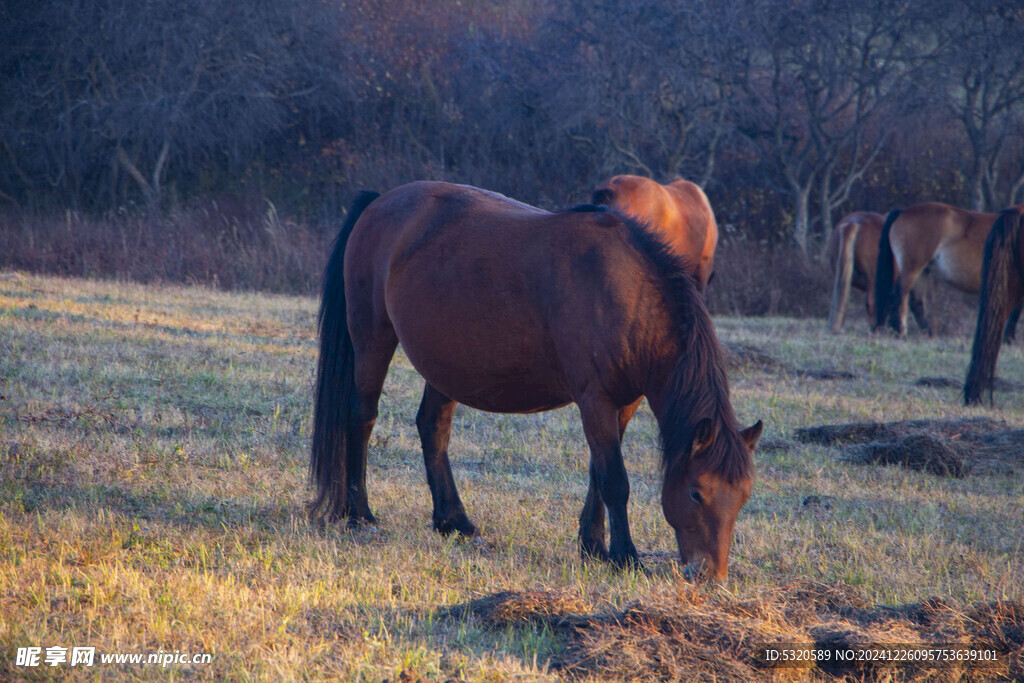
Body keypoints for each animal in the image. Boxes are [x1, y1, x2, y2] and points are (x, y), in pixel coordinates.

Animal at [309, 181, 761, 581]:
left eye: (743, 497)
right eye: (696, 492)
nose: (710, 576)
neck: (626, 292)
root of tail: (379, 202)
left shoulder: (624, 403)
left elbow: (598, 474)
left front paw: (593, 546)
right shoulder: (595, 399)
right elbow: (615, 480)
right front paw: (625, 557)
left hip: (445, 364)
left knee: (432, 428)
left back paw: (453, 521)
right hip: (372, 339)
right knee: (362, 419)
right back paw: (359, 513)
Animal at [876, 202, 1019, 342]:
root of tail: (903, 211)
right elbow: (1015, 314)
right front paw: (1009, 339)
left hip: (922, 271)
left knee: (916, 302)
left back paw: (928, 334)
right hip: (912, 269)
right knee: (899, 295)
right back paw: (900, 331)